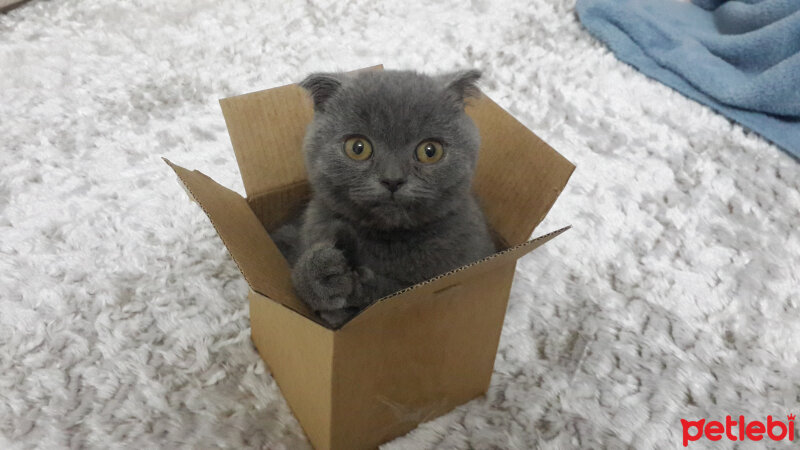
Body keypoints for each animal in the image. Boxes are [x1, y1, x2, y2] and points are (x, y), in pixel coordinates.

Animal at [276, 69, 500, 326]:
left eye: (430, 151)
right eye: (358, 147)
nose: (393, 180)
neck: (389, 239)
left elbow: (391, 294)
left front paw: (357, 285)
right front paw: (321, 272)